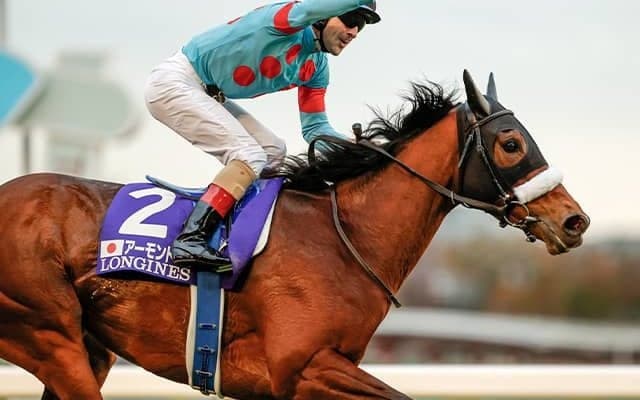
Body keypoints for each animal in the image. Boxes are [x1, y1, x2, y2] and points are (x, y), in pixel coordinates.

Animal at [0, 71, 589, 399]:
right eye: (511, 143)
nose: (574, 220)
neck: (346, 238)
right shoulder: (302, 367)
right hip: (47, 334)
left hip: (88, 347)